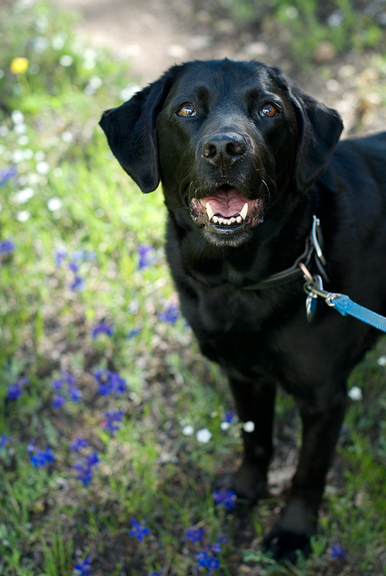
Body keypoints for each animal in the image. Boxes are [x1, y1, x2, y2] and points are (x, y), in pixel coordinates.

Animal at [99, 60, 386, 560]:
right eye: (186, 109)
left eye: (269, 109)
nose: (224, 149)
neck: (239, 281)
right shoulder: (242, 373)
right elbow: (255, 439)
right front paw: (245, 491)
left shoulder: (323, 398)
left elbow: (308, 472)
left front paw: (293, 532)